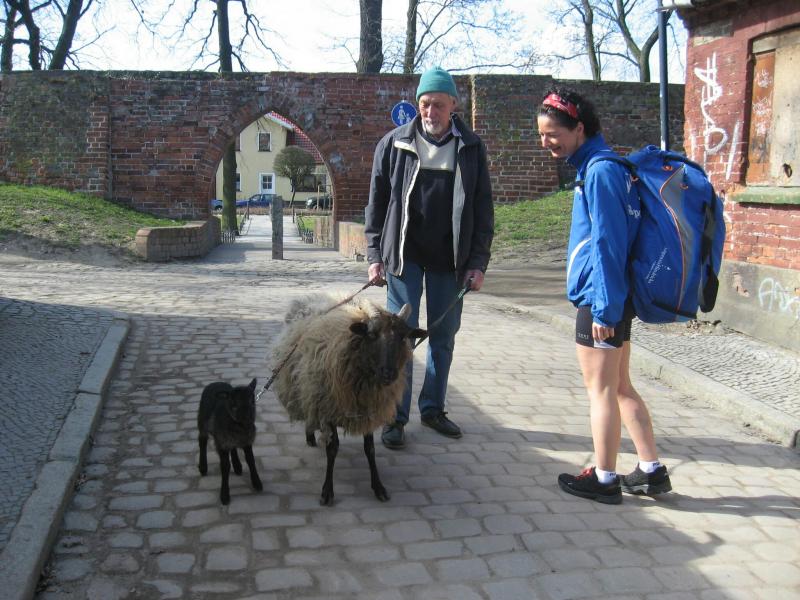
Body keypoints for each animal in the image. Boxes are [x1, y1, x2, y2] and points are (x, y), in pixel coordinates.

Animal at [272, 293, 427, 506]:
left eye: (403, 337)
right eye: (372, 335)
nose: (389, 373)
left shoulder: (368, 408)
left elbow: (370, 449)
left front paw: (378, 487)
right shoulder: (327, 405)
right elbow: (333, 448)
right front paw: (327, 491)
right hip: (307, 387)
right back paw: (310, 435)